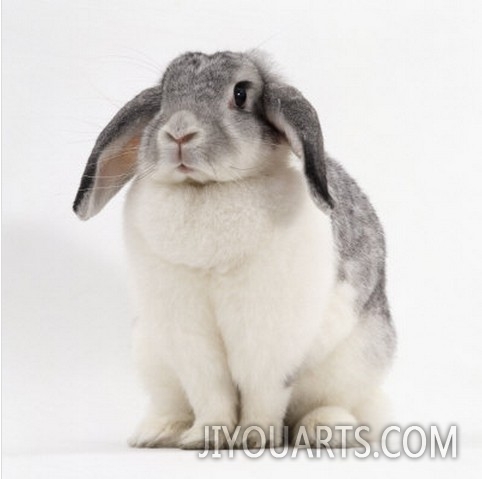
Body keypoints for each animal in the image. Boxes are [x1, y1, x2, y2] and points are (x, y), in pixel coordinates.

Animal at [72, 49, 396, 450]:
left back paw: (326, 429)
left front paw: (254, 438)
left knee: (335, 405)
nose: (179, 132)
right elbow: (210, 391)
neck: (206, 188)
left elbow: (263, 390)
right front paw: (204, 437)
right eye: (164, 95)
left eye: (240, 94)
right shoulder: (187, 333)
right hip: (151, 355)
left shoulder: (268, 333)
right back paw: (159, 432)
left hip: (354, 364)